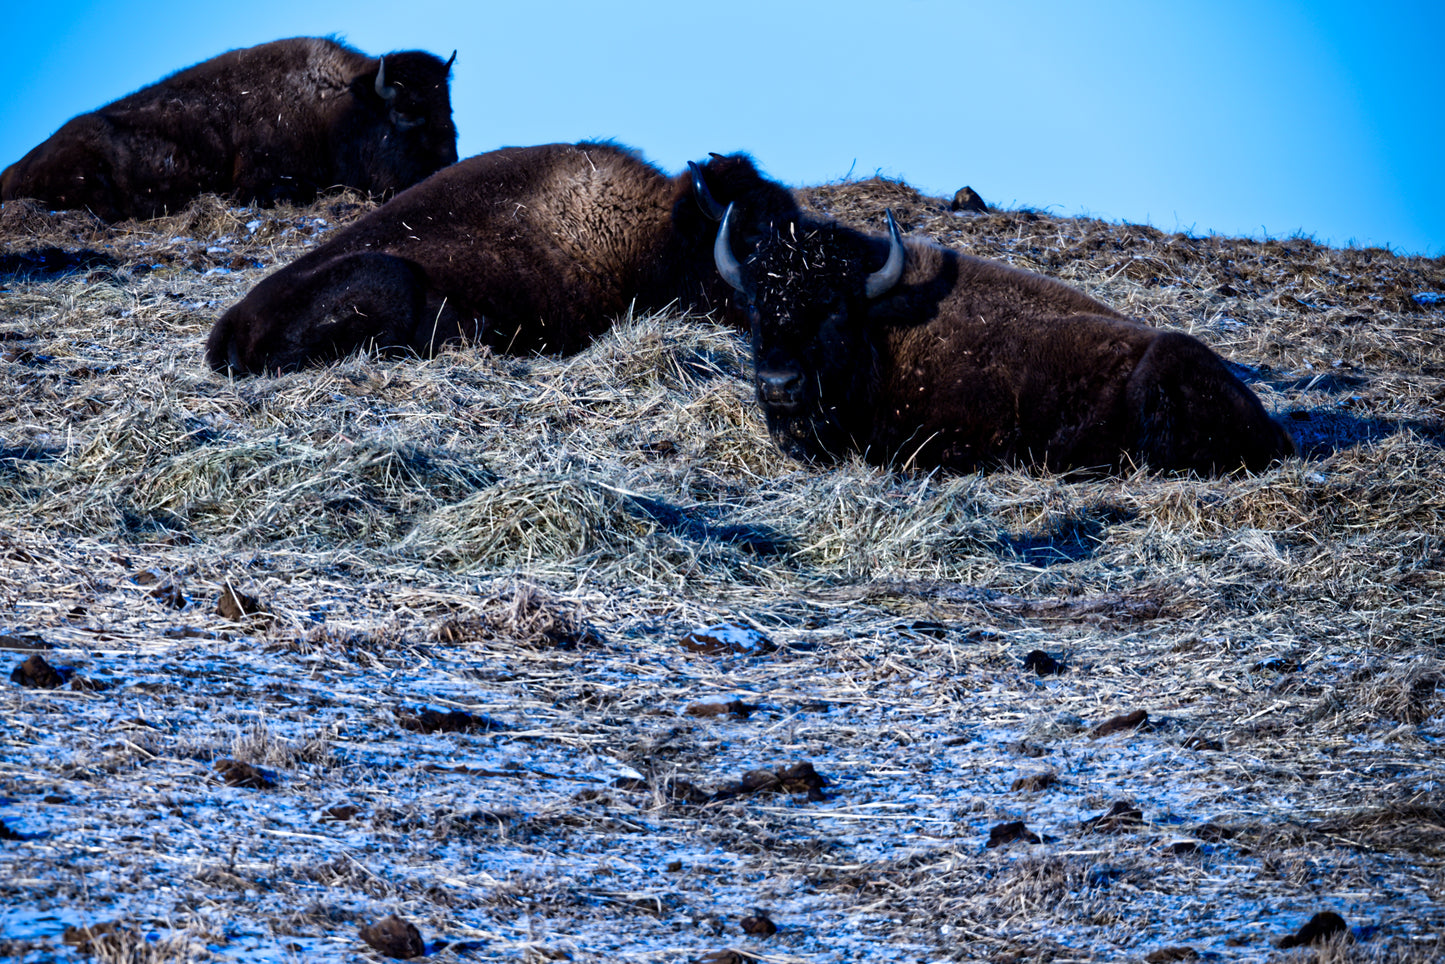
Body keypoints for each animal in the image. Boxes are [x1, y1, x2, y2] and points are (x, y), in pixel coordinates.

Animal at [1, 37, 458, 221]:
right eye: (409, 117)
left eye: (450, 113)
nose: (448, 169)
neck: (337, 108)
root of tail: (10, 173)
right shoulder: (262, 184)